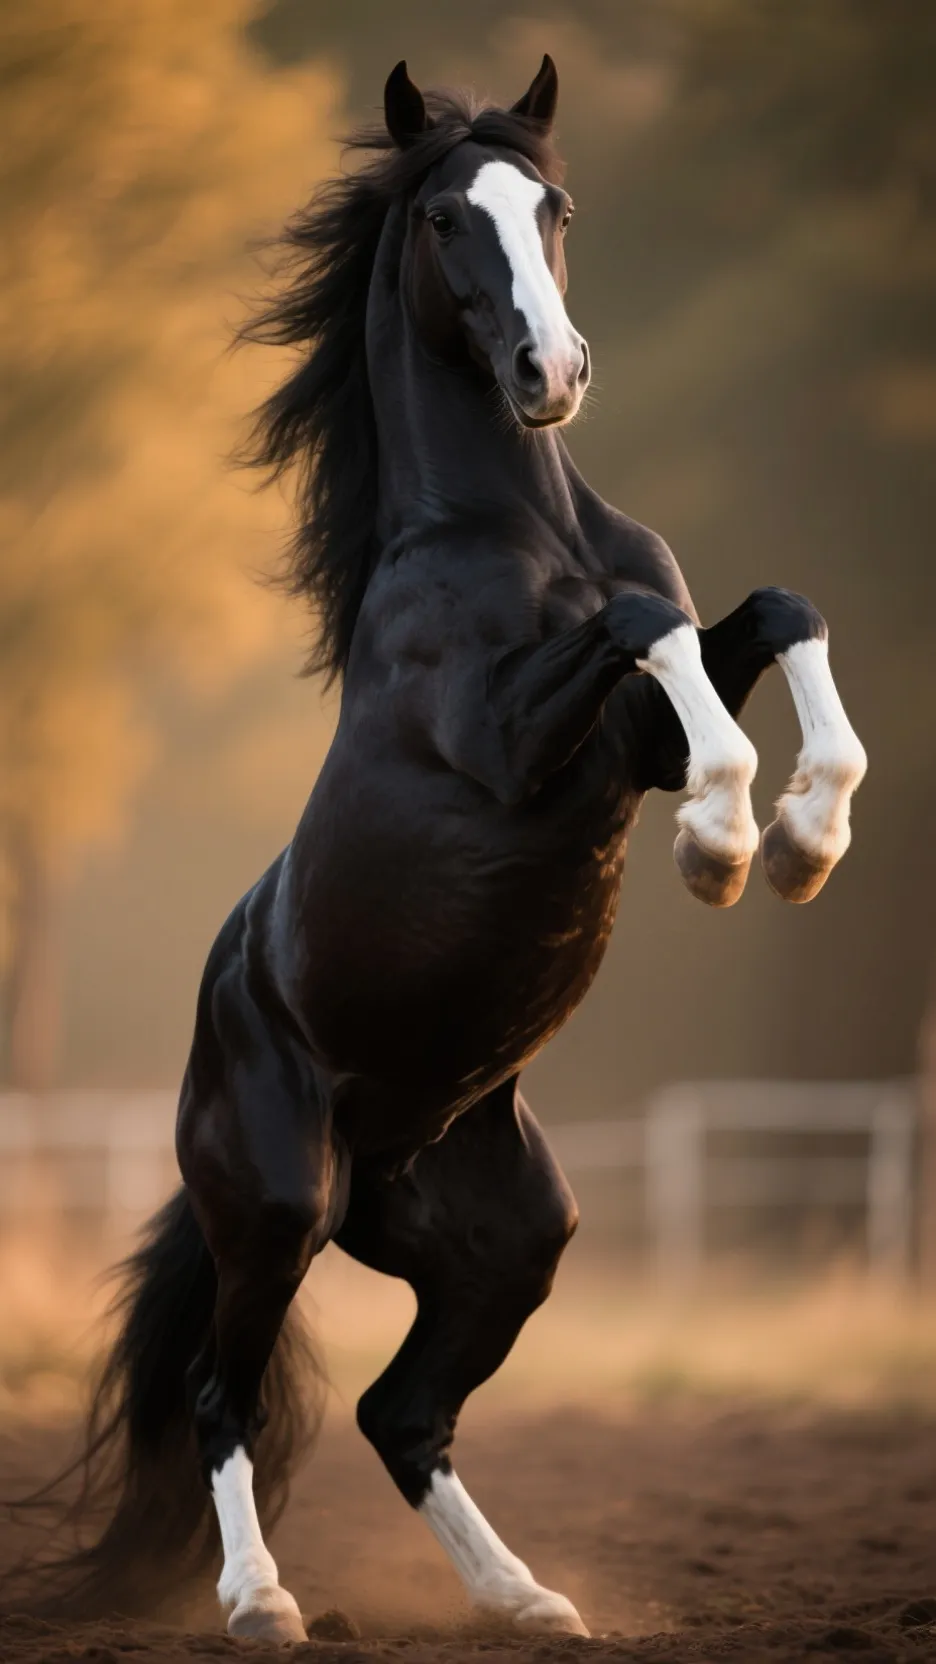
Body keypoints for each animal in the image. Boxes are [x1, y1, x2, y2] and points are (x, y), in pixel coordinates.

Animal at [30, 56, 866, 1643]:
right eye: (438, 218)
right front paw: (725, 846)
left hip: (512, 1241)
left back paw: (532, 1600)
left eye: (552, 208)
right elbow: (647, 631)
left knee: (400, 1412)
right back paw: (260, 1602)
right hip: (275, 1211)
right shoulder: (514, 741)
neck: (513, 527)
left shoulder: (629, 737)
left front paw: (801, 838)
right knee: (222, 1389)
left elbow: (771, 611)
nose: (553, 374)